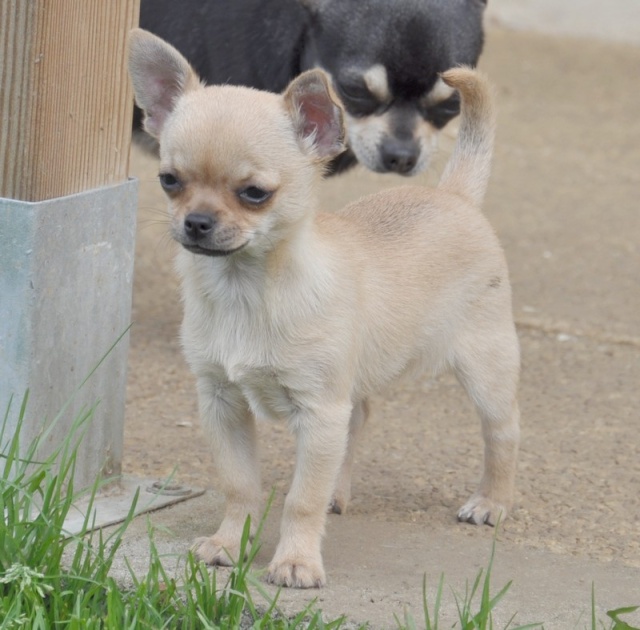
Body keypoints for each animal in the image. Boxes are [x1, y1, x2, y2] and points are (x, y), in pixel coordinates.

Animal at [129, 28, 520, 592]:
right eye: (169, 181)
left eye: (254, 193)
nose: (196, 222)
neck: (246, 289)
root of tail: (454, 196)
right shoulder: (222, 402)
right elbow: (239, 484)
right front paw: (229, 544)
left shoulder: (317, 413)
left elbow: (301, 497)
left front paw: (296, 562)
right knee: (360, 417)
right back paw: (342, 489)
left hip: (486, 367)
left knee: (503, 431)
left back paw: (492, 501)